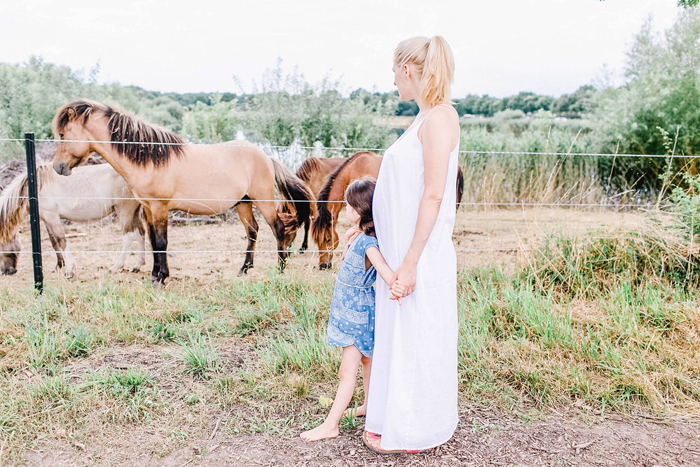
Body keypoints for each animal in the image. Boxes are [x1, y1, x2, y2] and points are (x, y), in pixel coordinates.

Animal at [0, 163, 145, 276]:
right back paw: (138, 265)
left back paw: (116, 267)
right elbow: (54, 241)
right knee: (141, 234)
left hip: (124, 211)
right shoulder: (46, 219)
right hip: (134, 213)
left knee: (128, 237)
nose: (8, 271)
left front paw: (70, 269)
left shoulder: (52, 216)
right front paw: (59, 265)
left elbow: (61, 240)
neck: (35, 186)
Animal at [53, 100, 316, 288]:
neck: (150, 159)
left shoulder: (159, 207)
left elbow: (161, 242)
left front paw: (160, 279)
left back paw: (280, 268)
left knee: (278, 228)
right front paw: (155, 275)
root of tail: (265, 156)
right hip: (243, 203)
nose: (57, 167)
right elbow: (153, 242)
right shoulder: (148, 208)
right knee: (253, 231)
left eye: (63, 135)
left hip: (263, 200)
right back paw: (244, 269)